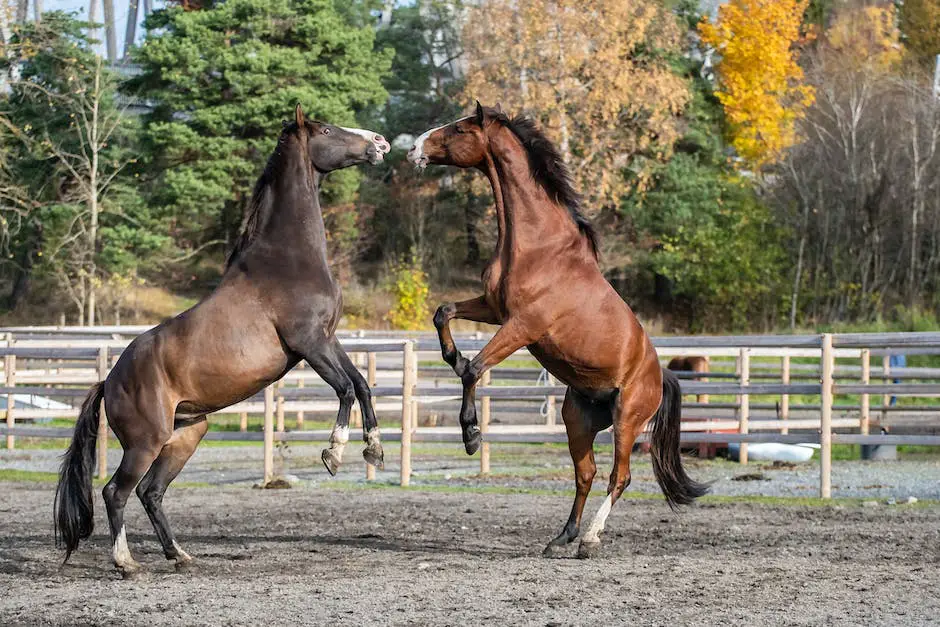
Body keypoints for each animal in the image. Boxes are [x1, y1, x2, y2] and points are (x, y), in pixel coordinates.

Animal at [53, 104, 392, 580]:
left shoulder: (328, 338)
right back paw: (126, 563)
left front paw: (374, 449)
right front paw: (334, 454)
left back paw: (180, 554)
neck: (287, 258)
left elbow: (361, 384)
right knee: (115, 492)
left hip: (186, 436)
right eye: (326, 129)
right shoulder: (309, 343)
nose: (380, 142)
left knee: (151, 493)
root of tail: (110, 381)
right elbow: (345, 388)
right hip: (145, 443)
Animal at [408, 103, 708, 560]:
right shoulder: (494, 309)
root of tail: (661, 375)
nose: (413, 148)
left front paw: (471, 434)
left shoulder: (523, 326)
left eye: (459, 129)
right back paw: (562, 536)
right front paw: (451, 355)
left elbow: (474, 370)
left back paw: (589, 539)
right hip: (577, 418)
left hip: (626, 419)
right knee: (586, 472)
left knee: (619, 477)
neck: (538, 246)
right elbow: (444, 313)